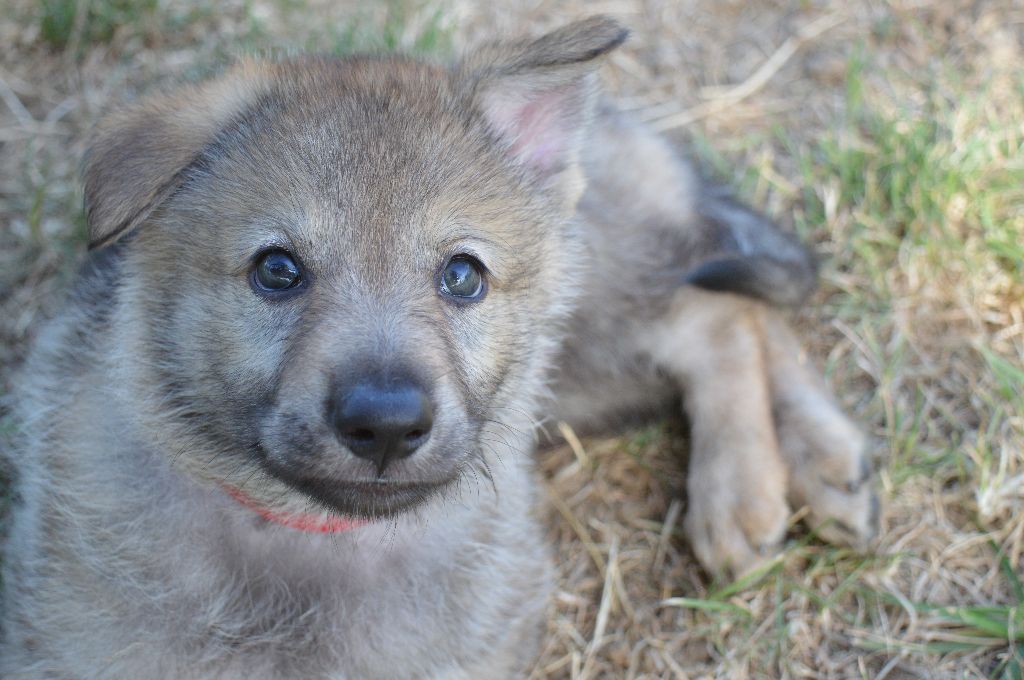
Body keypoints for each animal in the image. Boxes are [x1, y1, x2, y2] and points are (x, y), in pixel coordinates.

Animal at [2, 17, 872, 680]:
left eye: (462, 275)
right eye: (277, 271)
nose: (386, 424)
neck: (310, 542)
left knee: (718, 312)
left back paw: (749, 488)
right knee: (732, 309)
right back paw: (824, 465)